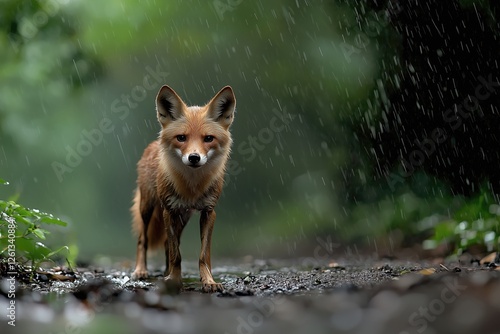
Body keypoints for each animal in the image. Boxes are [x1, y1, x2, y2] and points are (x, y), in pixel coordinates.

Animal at [131, 84, 236, 292]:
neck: (192, 188)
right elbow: (176, 255)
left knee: (166, 243)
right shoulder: (169, 210)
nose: (194, 158)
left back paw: (165, 272)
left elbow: (203, 255)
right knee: (143, 240)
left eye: (208, 138)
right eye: (181, 138)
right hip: (148, 208)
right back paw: (141, 270)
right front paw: (174, 280)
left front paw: (208, 281)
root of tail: (153, 144)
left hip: (184, 217)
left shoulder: (208, 212)